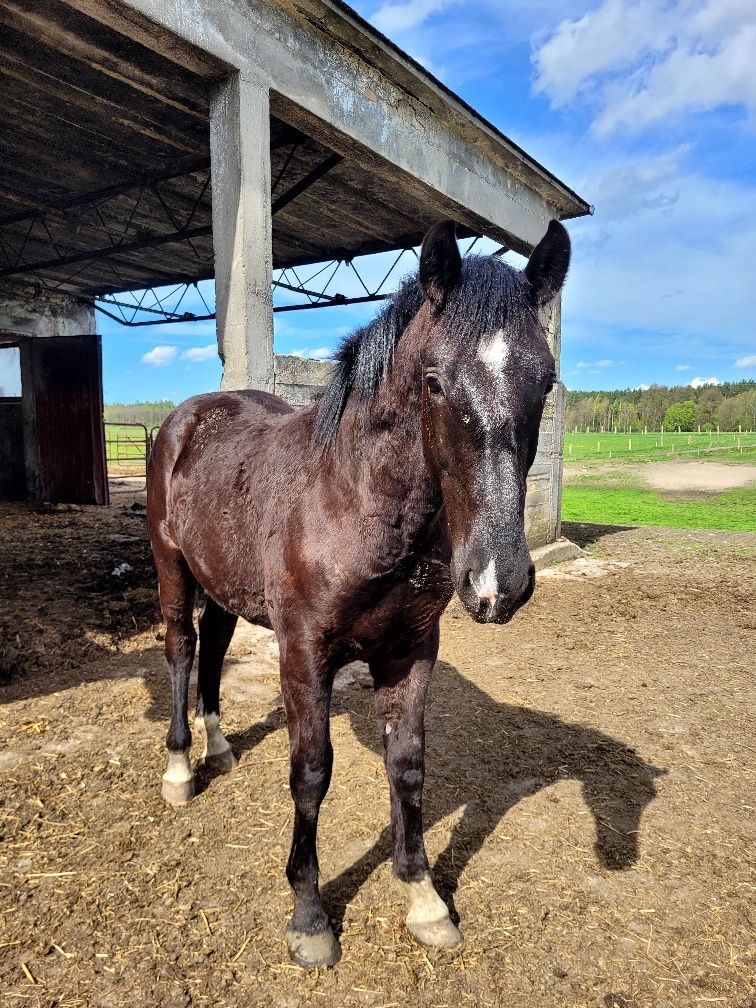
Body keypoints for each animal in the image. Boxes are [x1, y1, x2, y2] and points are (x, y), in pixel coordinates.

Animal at [145, 220, 572, 967]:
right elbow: (312, 772)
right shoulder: (304, 652)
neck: (352, 499)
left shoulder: (410, 650)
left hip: (225, 582)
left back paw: (219, 747)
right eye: (433, 381)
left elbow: (408, 768)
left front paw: (425, 899)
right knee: (181, 648)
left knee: (215, 649)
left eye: (545, 382)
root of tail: (190, 417)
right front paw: (309, 915)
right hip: (174, 567)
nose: (499, 583)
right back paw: (180, 769)